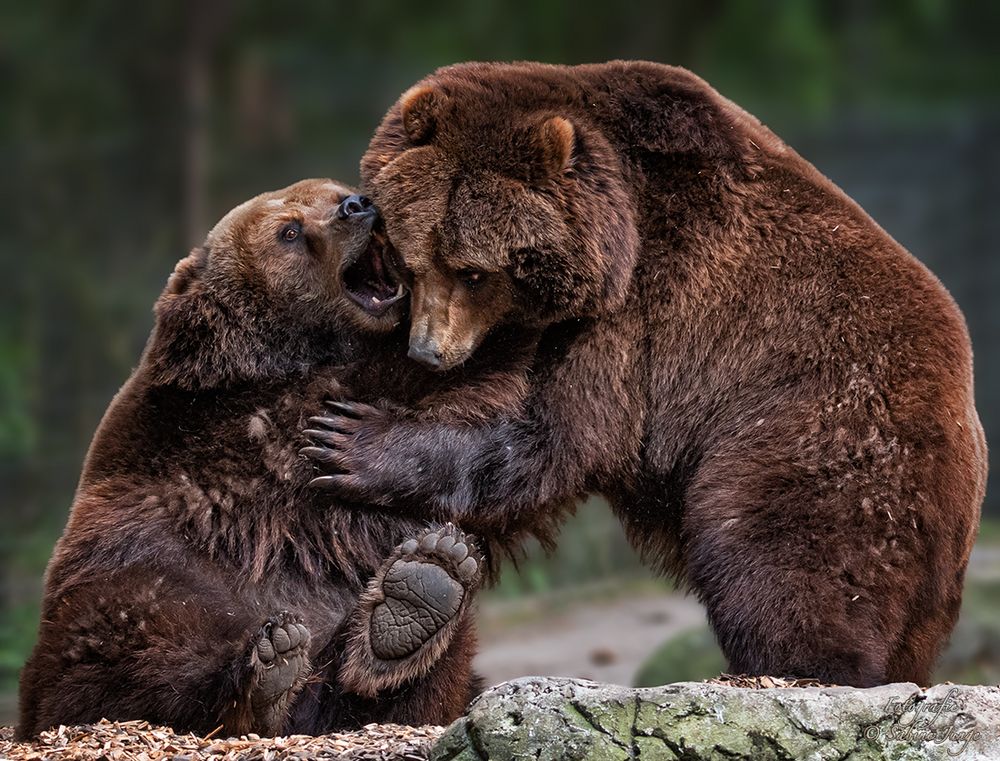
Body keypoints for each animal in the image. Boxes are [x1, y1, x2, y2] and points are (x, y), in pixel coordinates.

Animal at [17, 178, 540, 736]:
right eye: (289, 230)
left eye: (335, 189)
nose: (358, 207)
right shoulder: (245, 422)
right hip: (133, 584)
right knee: (135, 654)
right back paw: (272, 669)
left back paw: (414, 601)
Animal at [302, 62, 984, 684]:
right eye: (412, 261)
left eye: (474, 271)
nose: (428, 351)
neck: (617, 227)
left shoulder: (644, 313)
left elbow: (553, 433)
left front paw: (351, 441)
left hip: (823, 427)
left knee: (782, 546)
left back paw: (796, 662)